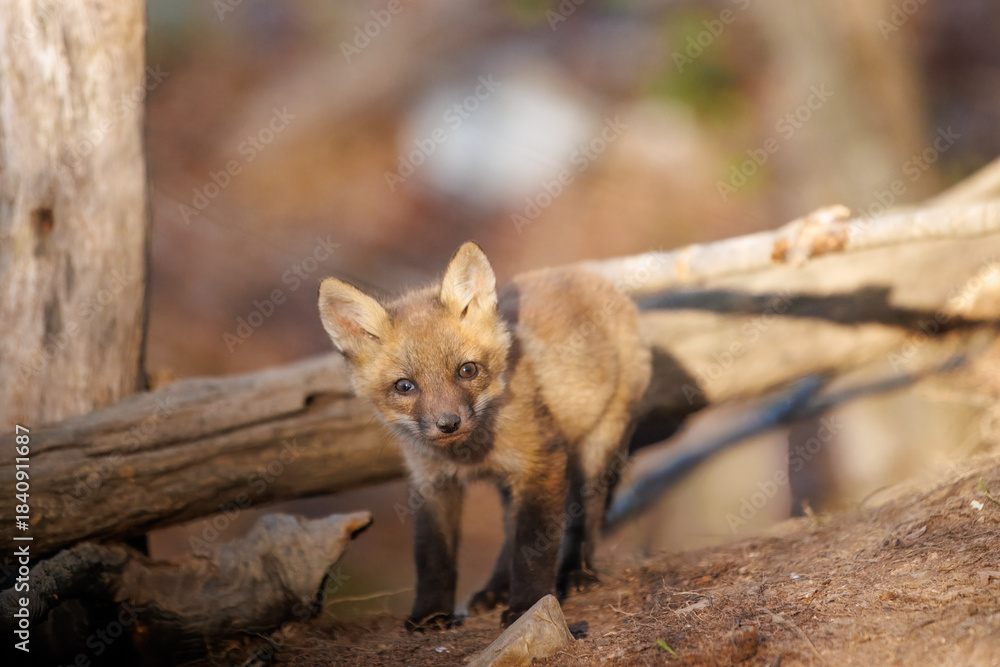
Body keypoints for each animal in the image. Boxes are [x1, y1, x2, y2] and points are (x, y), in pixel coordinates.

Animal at [317, 242, 651, 630]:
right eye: (404, 386)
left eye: (467, 370)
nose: (448, 423)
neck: (470, 454)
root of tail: (587, 274)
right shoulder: (431, 481)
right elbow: (433, 557)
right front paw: (431, 614)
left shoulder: (541, 461)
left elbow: (532, 546)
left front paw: (528, 605)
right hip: (511, 483)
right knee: (509, 529)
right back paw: (494, 590)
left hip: (596, 447)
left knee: (586, 514)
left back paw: (577, 573)